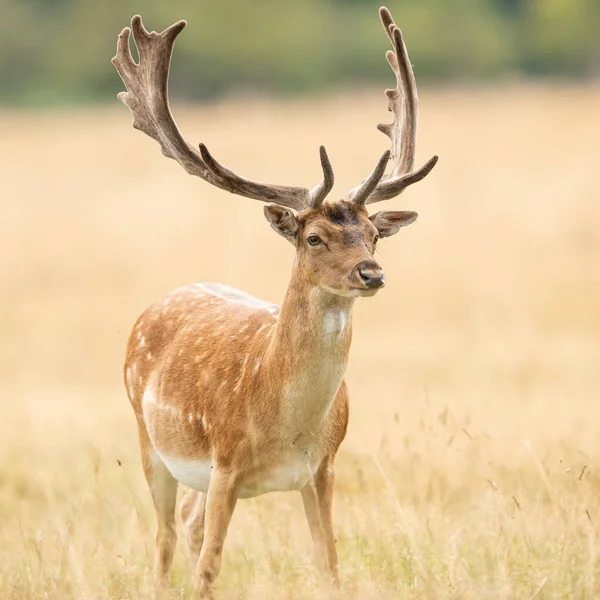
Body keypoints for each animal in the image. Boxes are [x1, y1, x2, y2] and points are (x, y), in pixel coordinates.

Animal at [115, 7, 438, 596]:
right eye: (314, 238)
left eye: (372, 236)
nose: (372, 273)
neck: (285, 426)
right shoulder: (224, 463)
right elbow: (210, 565)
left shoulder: (324, 468)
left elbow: (328, 561)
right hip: (149, 439)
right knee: (166, 535)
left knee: (187, 525)